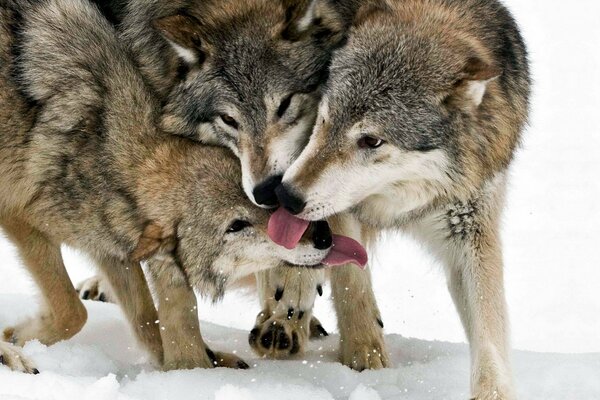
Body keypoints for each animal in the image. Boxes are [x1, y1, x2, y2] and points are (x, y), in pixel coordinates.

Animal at [268, 0, 528, 398]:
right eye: (324, 119)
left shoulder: (471, 228)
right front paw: (365, 358)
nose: (287, 195)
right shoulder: (340, 210)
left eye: (371, 141)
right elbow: (352, 282)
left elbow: (490, 332)